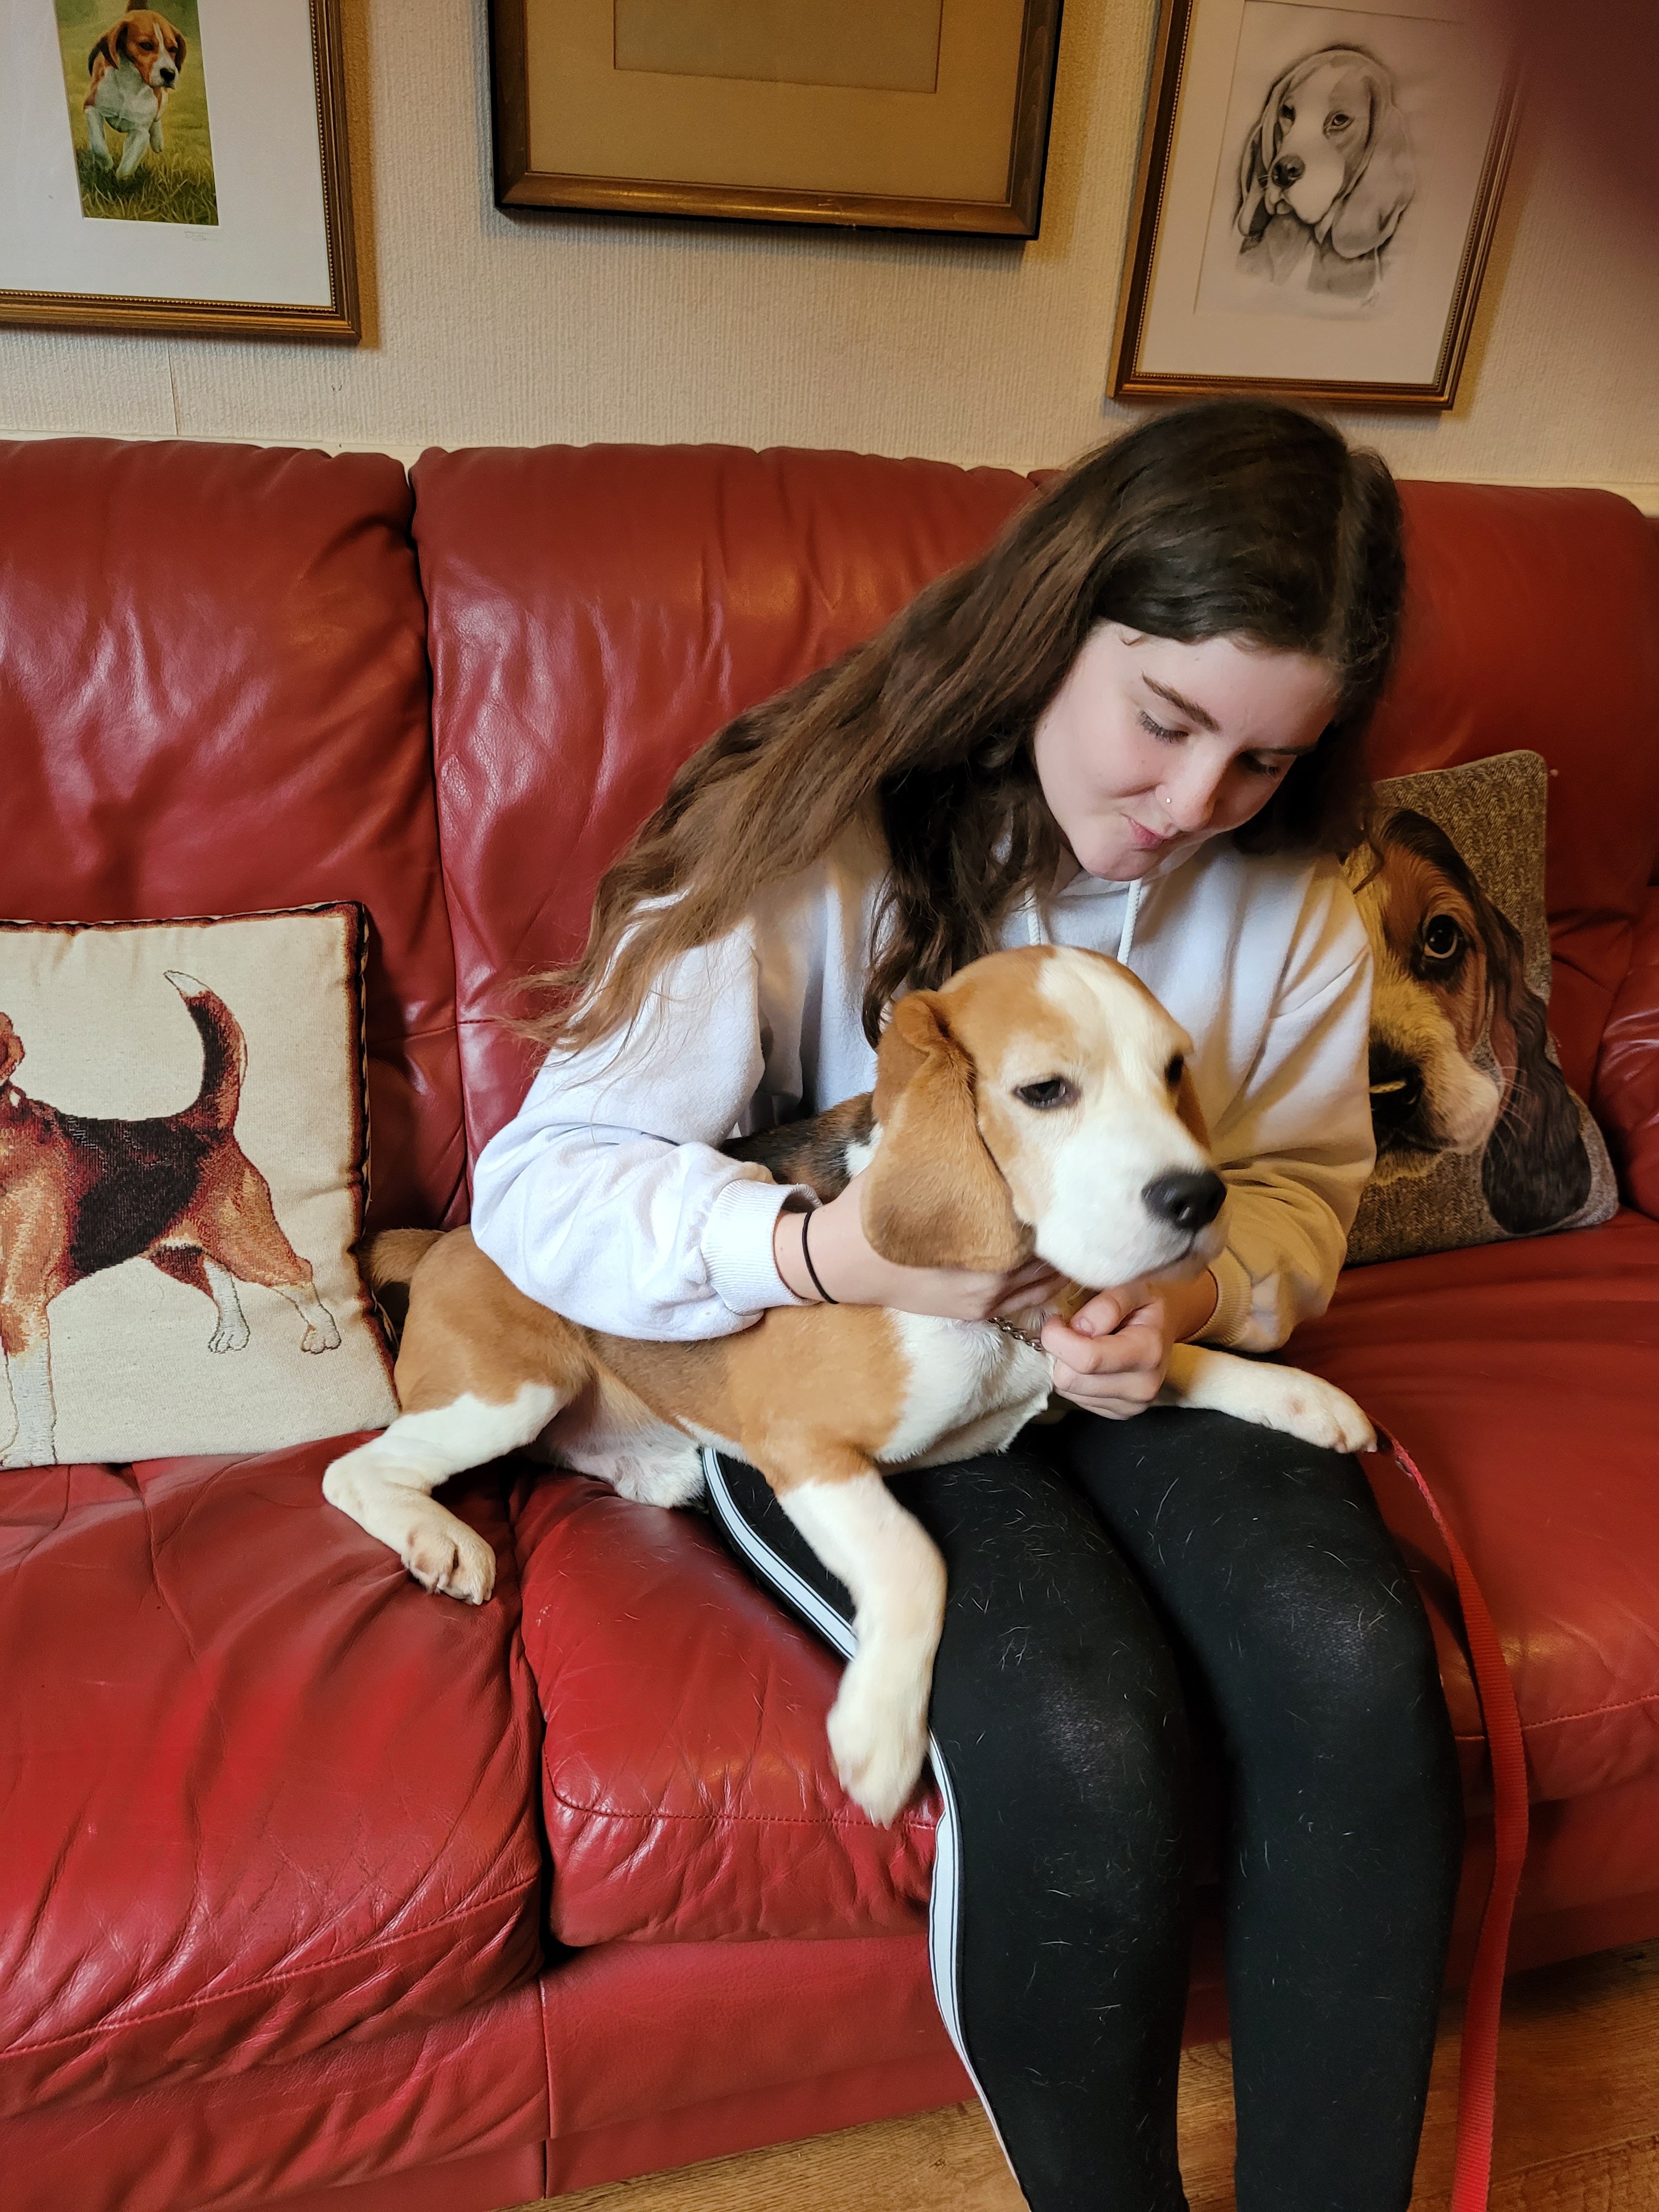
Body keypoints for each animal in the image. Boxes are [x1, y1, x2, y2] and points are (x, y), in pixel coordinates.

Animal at [0, 972, 340, 1470]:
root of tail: (198, 1121)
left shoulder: (19, 1307)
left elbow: (31, 1398)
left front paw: (33, 1455)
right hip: (176, 1251)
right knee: (218, 1275)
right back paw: (233, 1332)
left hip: (245, 1244)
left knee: (299, 1272)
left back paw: (324, 1334)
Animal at [83, 10, 188, 181]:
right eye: (146, 45)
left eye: (173, 49)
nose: (170, 74)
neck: (130, 84)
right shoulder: (91, 108)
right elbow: (98, 144)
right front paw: (105, 165)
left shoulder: (141, 131)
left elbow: (129, 163)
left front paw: (121, 180)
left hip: (163, 99)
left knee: (158, 116)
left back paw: (158, 141)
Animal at [324, 945, 1373, 1825]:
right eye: (1043, 1090)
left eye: (1173, 1070)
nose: (1198, 1198)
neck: (1005, 1314)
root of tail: (450, 1236)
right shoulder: (804, 1449)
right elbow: (913, 1560)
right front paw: (879, 1729)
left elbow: (1185, 1359)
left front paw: (1295, 1395)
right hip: (508, 1392)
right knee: (359, 1472)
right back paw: (436, 1537)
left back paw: (647, 1472)